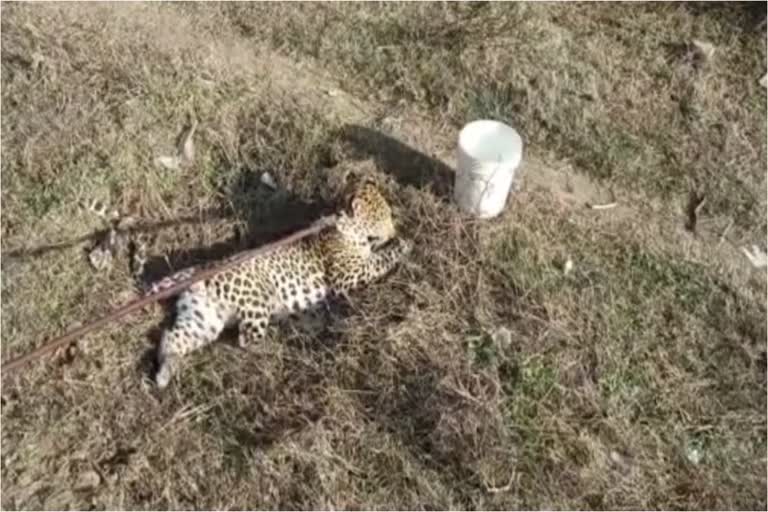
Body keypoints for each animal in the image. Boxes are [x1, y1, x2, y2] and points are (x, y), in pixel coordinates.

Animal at [152, 183, 414, 388]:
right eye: (382, 217)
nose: (393, 230)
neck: (342, 226)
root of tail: (198, 271)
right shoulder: (349, 276)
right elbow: (380, 260)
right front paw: (403, 244)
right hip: (257, 300)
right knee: (246, 340)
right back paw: (286, 343)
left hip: (203, 320)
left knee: (171, 337)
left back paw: (165, 371)